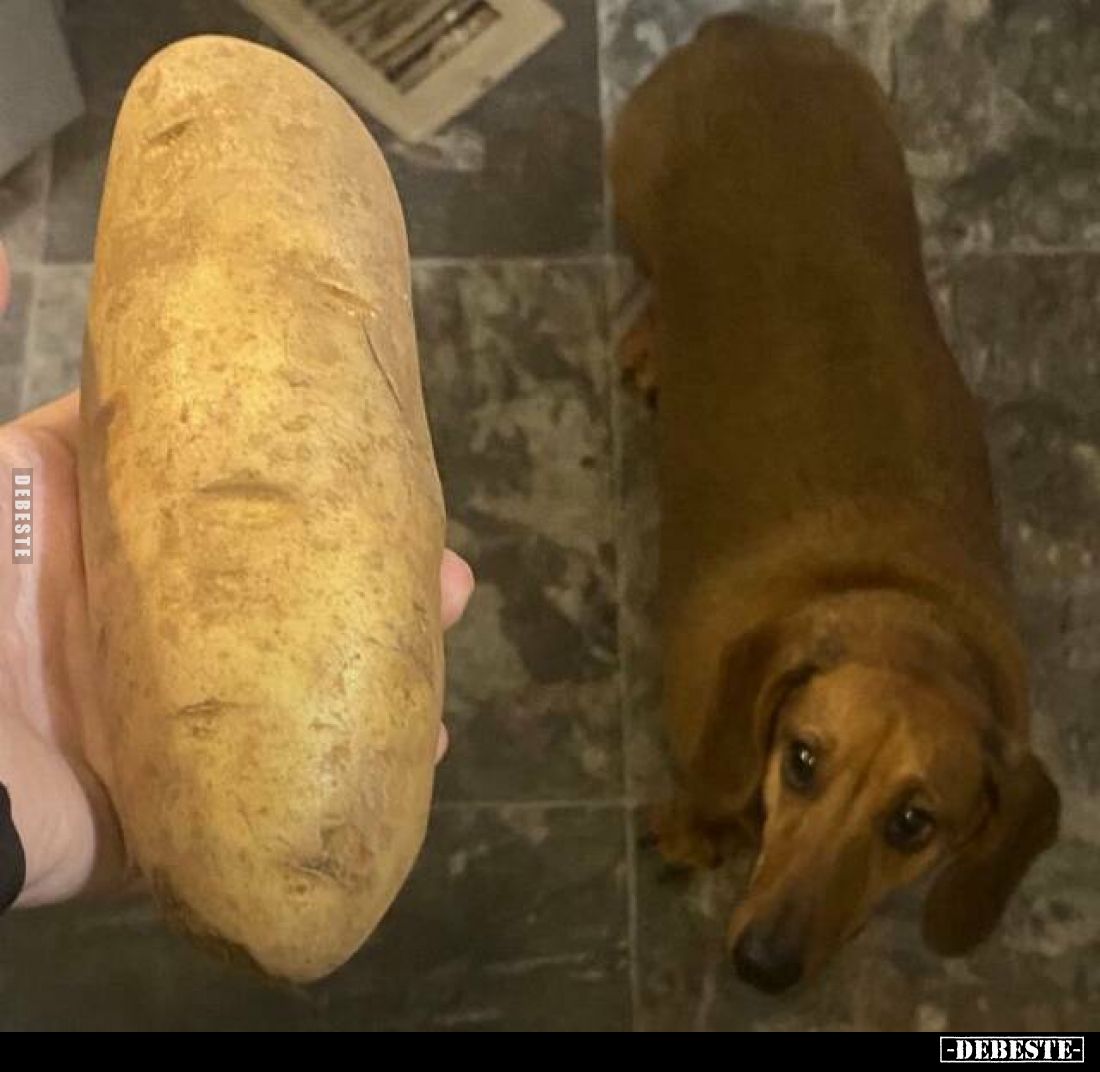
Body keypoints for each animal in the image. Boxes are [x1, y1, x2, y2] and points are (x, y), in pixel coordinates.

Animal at [610, 15, 1059, 993]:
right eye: (804, 759)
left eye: (913, 822)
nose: (763, 967)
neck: (900, 608)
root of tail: (740, 28)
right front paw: (694, 829)